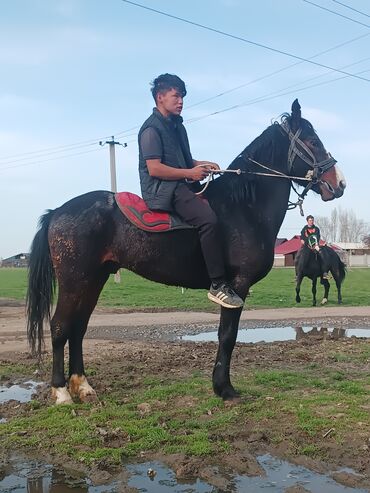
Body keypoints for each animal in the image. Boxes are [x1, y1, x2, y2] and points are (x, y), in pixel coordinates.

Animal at [27, 100, 346, 404]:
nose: (339, 183)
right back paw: (62, 392)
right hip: (75, 281)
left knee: (78, 328)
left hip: (93, 280)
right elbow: (227, 336)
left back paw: (83, 386)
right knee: (60, 327)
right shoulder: (237, 285)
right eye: (312, 140)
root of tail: (57, 212)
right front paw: (224, 388)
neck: (244, 207)